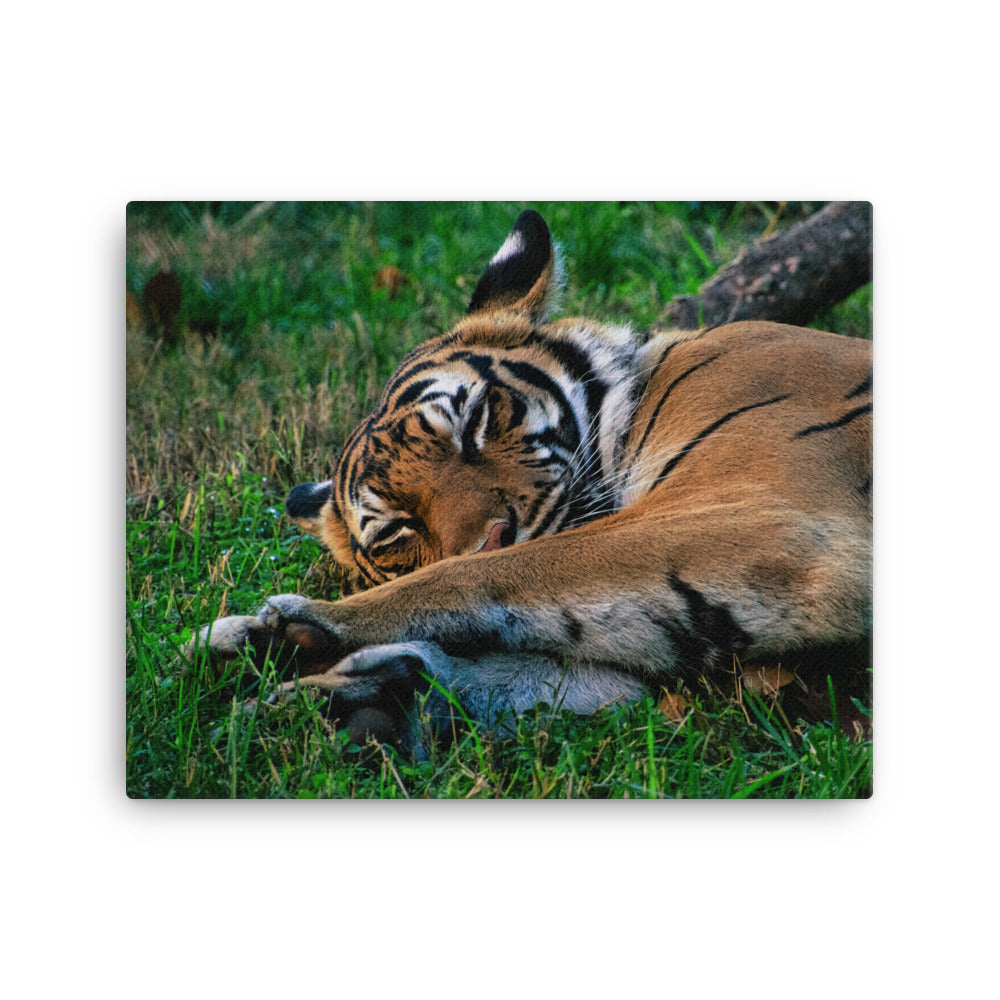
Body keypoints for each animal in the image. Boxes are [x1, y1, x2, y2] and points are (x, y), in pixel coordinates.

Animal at [193, 209, 873, 752]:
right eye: (397, 532)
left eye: (473, 421)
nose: (498, 533)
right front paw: (338, 688)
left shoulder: (772, 515)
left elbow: (487, 574)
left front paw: (299, 629)